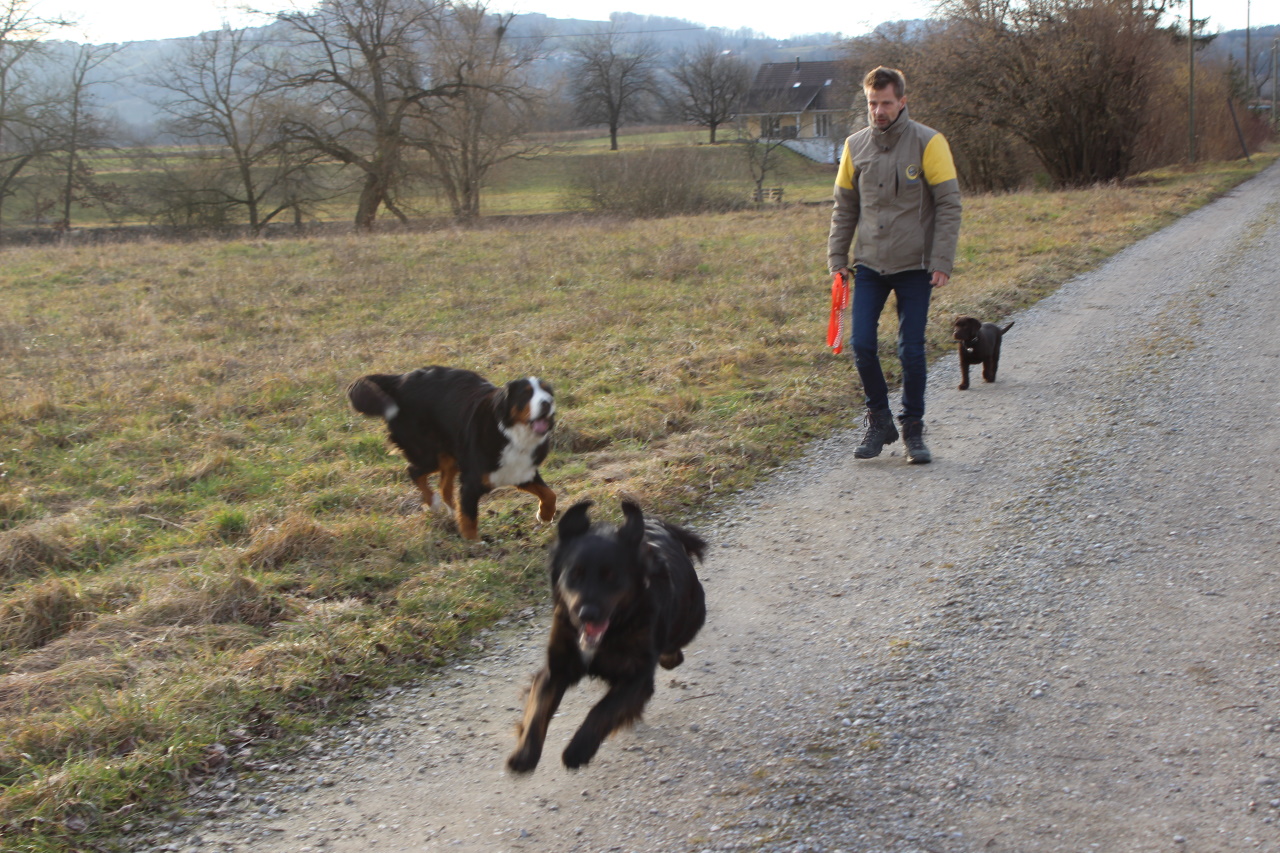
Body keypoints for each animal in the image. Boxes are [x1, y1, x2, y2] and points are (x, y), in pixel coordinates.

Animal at [350, 366, 555, 537]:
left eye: (547, 392)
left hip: (451, 455)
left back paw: (450, 511)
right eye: (526, 394)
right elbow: (469, 516)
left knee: (443, 485)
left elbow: (549, 494)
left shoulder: (520, 471)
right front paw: (473, 544)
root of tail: (399, 379)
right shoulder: (472, 481)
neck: (511, 434)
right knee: (414, 471)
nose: (547, 403)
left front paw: (545, 515)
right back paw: (433, 503)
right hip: (429, 453)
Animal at [506, 499, 711, 768]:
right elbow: (538, 709)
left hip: (690, 618)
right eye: (574, 574)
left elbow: (602, 710)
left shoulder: (637, 678)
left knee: (673, 651)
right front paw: (524, 754)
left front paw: (578, 750)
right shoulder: (557, 668)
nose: (586, 614)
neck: (613, 630)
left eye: (611, 576)